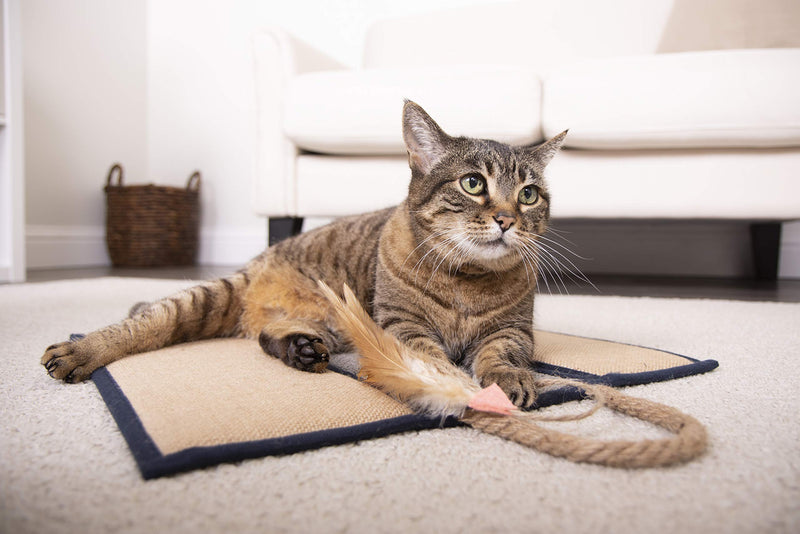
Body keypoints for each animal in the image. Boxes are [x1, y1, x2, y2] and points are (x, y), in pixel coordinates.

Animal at [42, 100, 568, 410]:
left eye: (528, 195)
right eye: (474, 183)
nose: (508, 219)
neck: (467, 278)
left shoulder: (513, 330)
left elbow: (501, 354)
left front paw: (509, 379)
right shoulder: (401, 325)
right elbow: (427, 356)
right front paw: (447, 381)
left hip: (333, 325)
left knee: (263, 336)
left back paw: (298, 347)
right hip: (209, 296)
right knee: (146, 321)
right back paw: (80, 349)